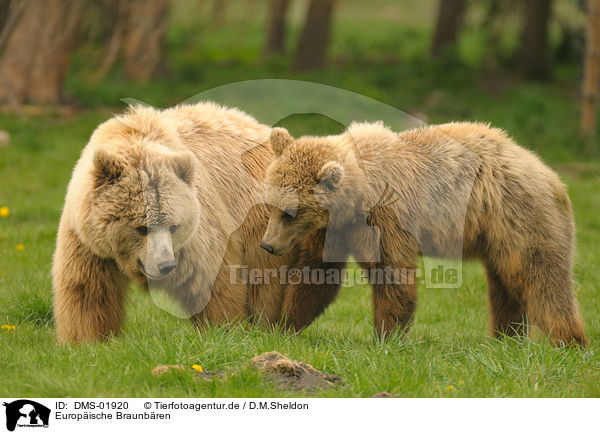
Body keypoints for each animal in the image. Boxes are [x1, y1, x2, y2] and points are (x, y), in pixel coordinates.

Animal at [264, 121, 592, 346]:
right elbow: (318, 274)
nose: (267, 245)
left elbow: (392, 274)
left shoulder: (387, 218)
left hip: (519, 216)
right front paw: (285, 324)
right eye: (270, 204)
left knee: (541, 279)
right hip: (499, 237)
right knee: (505, 286)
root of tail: (551, 174)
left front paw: (387, 337)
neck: (355, 199)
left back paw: (568, 342)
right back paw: (506, 339)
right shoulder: (335, 229)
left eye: (290, 212)